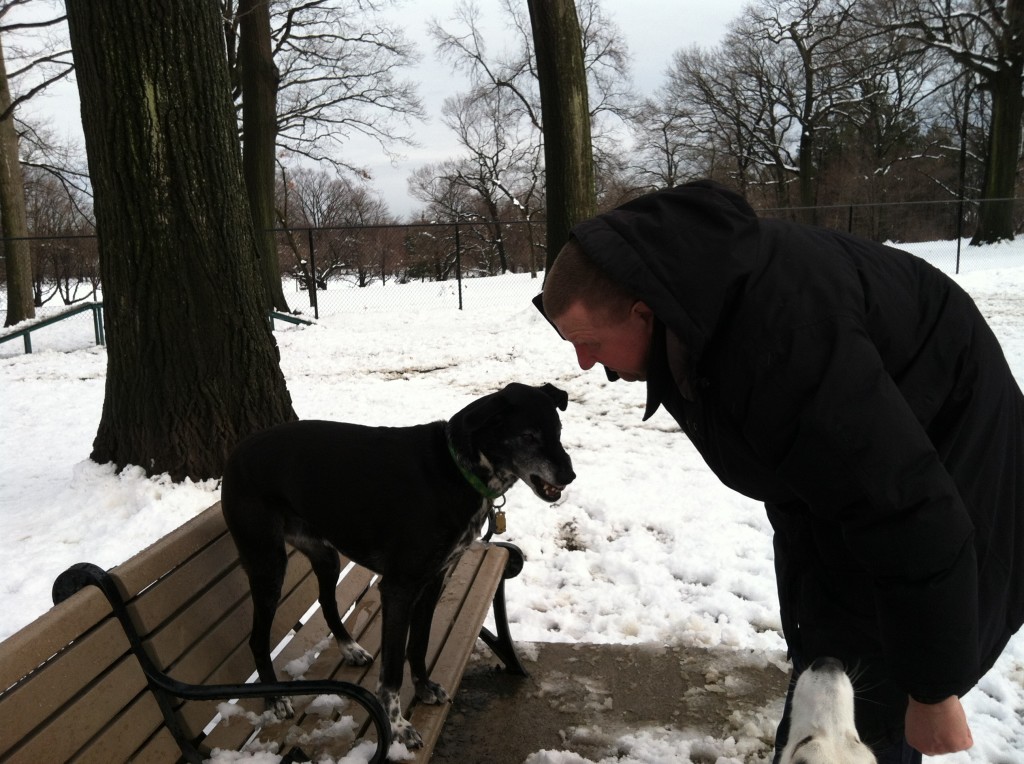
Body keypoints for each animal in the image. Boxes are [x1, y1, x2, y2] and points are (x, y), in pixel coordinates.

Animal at [222, 380, 577, 745]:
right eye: (528, 435)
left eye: (558, 431)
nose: (569, 475)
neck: (455, 469)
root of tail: (236, 453)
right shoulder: (398, 589)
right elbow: (392, 667)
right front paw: (396, 725)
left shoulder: (432, 581)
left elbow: (418, 645)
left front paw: (424, 688)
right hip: (267, 563)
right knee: (257, 638)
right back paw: (275, 699)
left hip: (325, 554)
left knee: (326, 600)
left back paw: (349, 648)